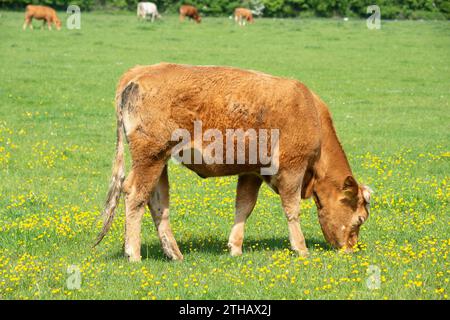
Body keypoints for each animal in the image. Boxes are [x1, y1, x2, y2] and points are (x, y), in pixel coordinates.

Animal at [95, 63, 372, 262]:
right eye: (359, 219)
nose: (351, 249)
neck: (310, 111)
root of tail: (138, 72)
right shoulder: (292, 168)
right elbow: (291, 209)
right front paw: (301, 248)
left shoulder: (252, 172)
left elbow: (244, 207)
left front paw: (235, 247)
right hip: (149, 158)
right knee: (135, 196)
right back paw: (134, 253)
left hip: (159, 162)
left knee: (157, 203)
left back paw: (174, 254)